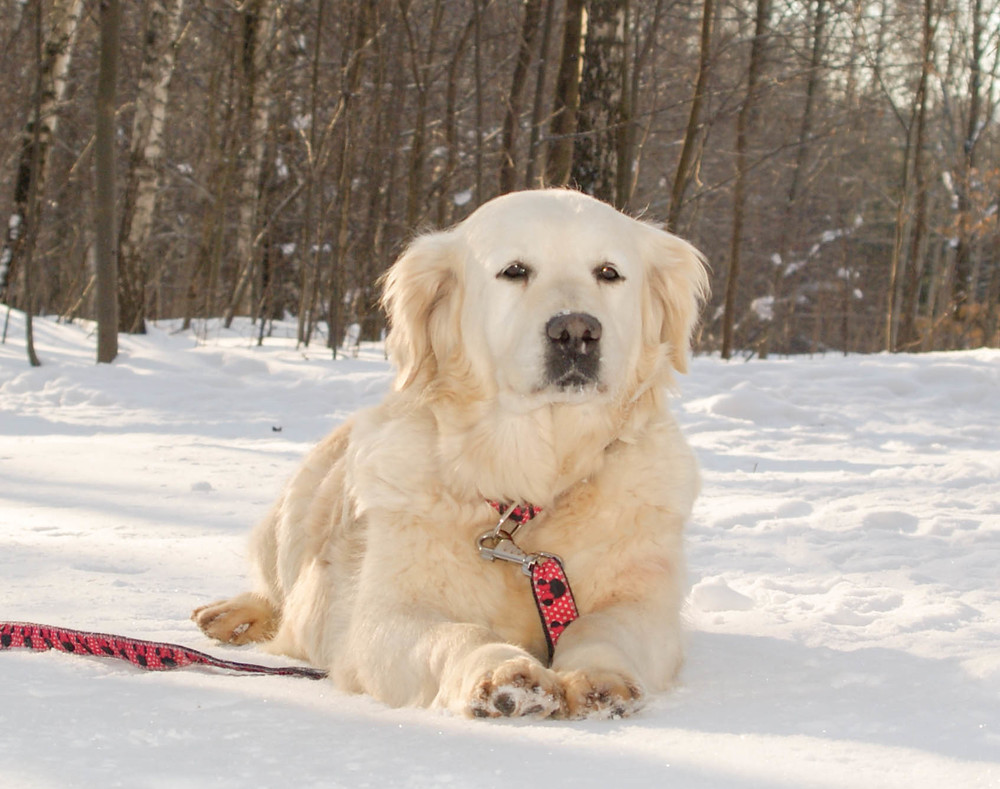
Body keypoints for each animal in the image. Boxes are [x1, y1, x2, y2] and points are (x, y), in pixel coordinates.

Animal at [193, 188, 712, 716]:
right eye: (514, 270)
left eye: (608, 273)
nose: (576, 331)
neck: (528, 490)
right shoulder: (383, 617)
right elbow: (457, 633)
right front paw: (506, 673)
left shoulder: (644, 601)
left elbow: (601, 625)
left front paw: (599, 677)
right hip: (293, 515)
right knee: (274, 589)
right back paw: (231, 615)